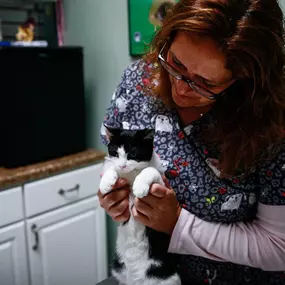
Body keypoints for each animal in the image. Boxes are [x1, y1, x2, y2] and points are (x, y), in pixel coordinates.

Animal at [99, 126, 180, 284]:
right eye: (115, 153)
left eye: (133, 153)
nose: (123, 165)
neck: (132, 173)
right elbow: (110, 166)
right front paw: (106, 182)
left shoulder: (162, 184)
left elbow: (150, 170)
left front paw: (140, 186)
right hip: (119, 270)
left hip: (167, 277)